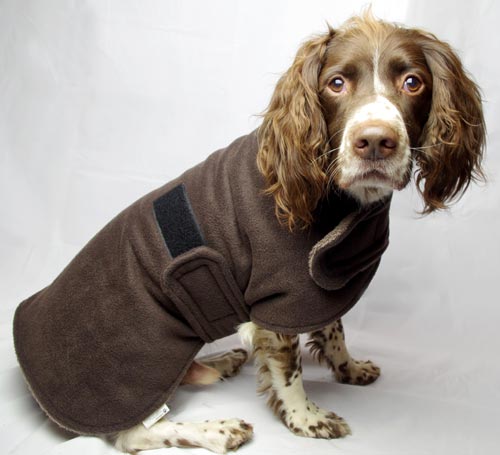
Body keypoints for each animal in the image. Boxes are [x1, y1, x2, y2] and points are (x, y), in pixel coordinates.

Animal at [15, 12, 484, 454]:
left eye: (412, 82)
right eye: (336, 83)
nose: (374, 142)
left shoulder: (317, 287)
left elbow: (334, 329)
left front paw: (348, 368)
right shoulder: (280, 299)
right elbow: (289, 370)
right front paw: (305, 419)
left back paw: (222, 361)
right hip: (138, 367)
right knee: (134, 434)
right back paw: (218, 429)